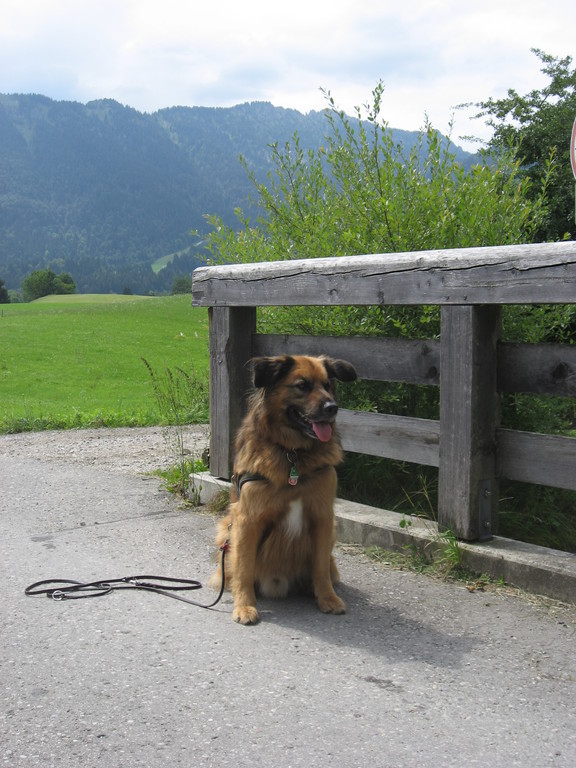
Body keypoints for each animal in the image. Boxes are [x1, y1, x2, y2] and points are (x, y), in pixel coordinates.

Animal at [209, 354, 358, 624]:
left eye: (327, 385)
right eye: (302, 385)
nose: (332, 408)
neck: (293, 455)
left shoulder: (323, 517)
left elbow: (320, 566)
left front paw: (327, 598)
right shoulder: (247, 520)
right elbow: (244, 569)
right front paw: (244, 606)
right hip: (226, 528)